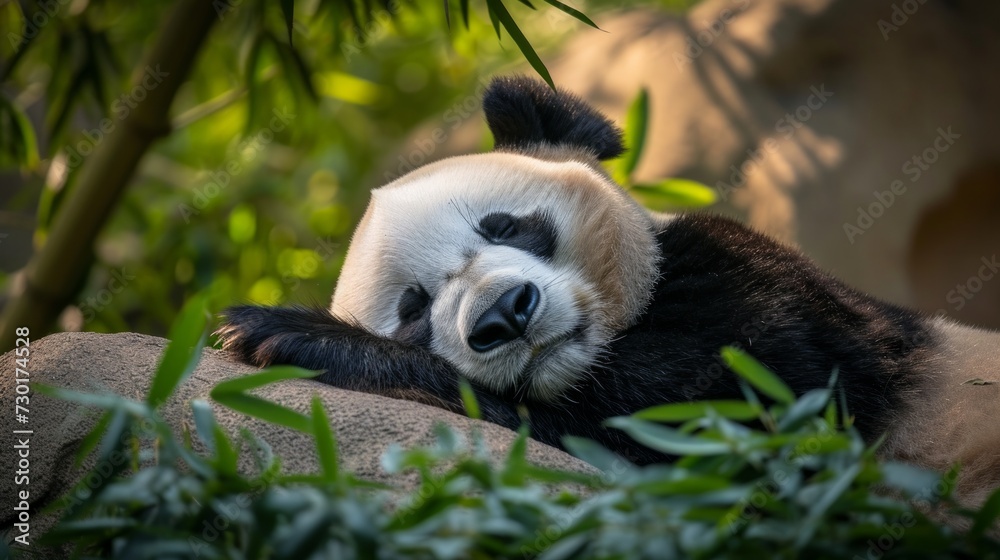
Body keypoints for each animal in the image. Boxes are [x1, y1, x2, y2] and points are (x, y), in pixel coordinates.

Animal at [217, 75, 1000, 504]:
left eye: (506, 225)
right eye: (412, 309)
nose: (506, 314)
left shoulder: (777, 300)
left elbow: (718, 419)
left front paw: (282, 331)